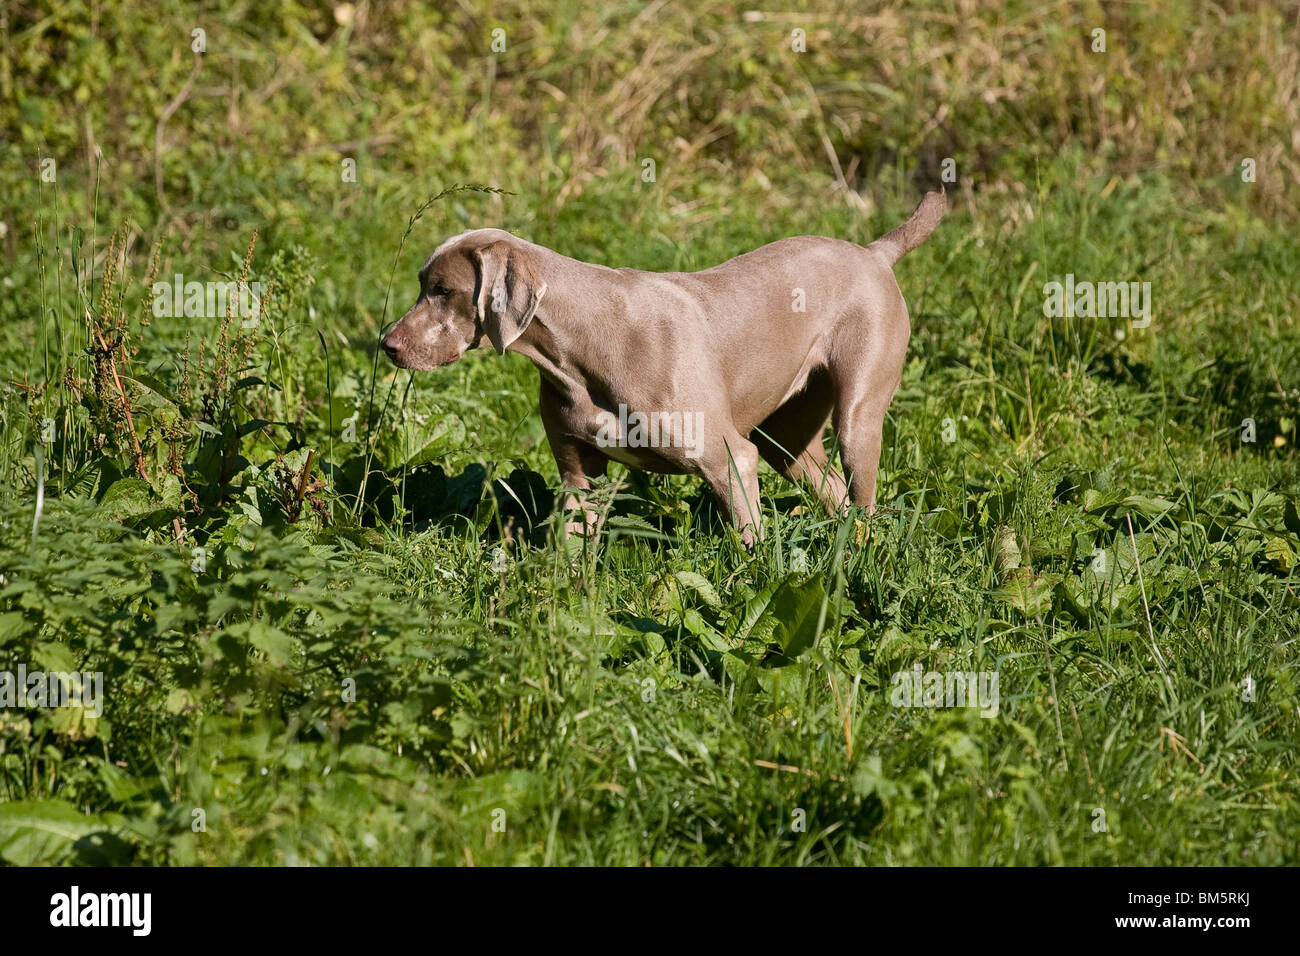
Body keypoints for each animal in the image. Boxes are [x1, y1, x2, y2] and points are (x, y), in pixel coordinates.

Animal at [379, 192, 946, 546]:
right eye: (421, 283)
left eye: (444, 291)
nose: (387, 345)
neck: (580, 350)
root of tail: (874, 253)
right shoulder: (578, 478)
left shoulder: (729, 461)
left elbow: (750, 548)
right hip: (786, 440)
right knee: (833, 494)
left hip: (856, 413)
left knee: (863, 498)